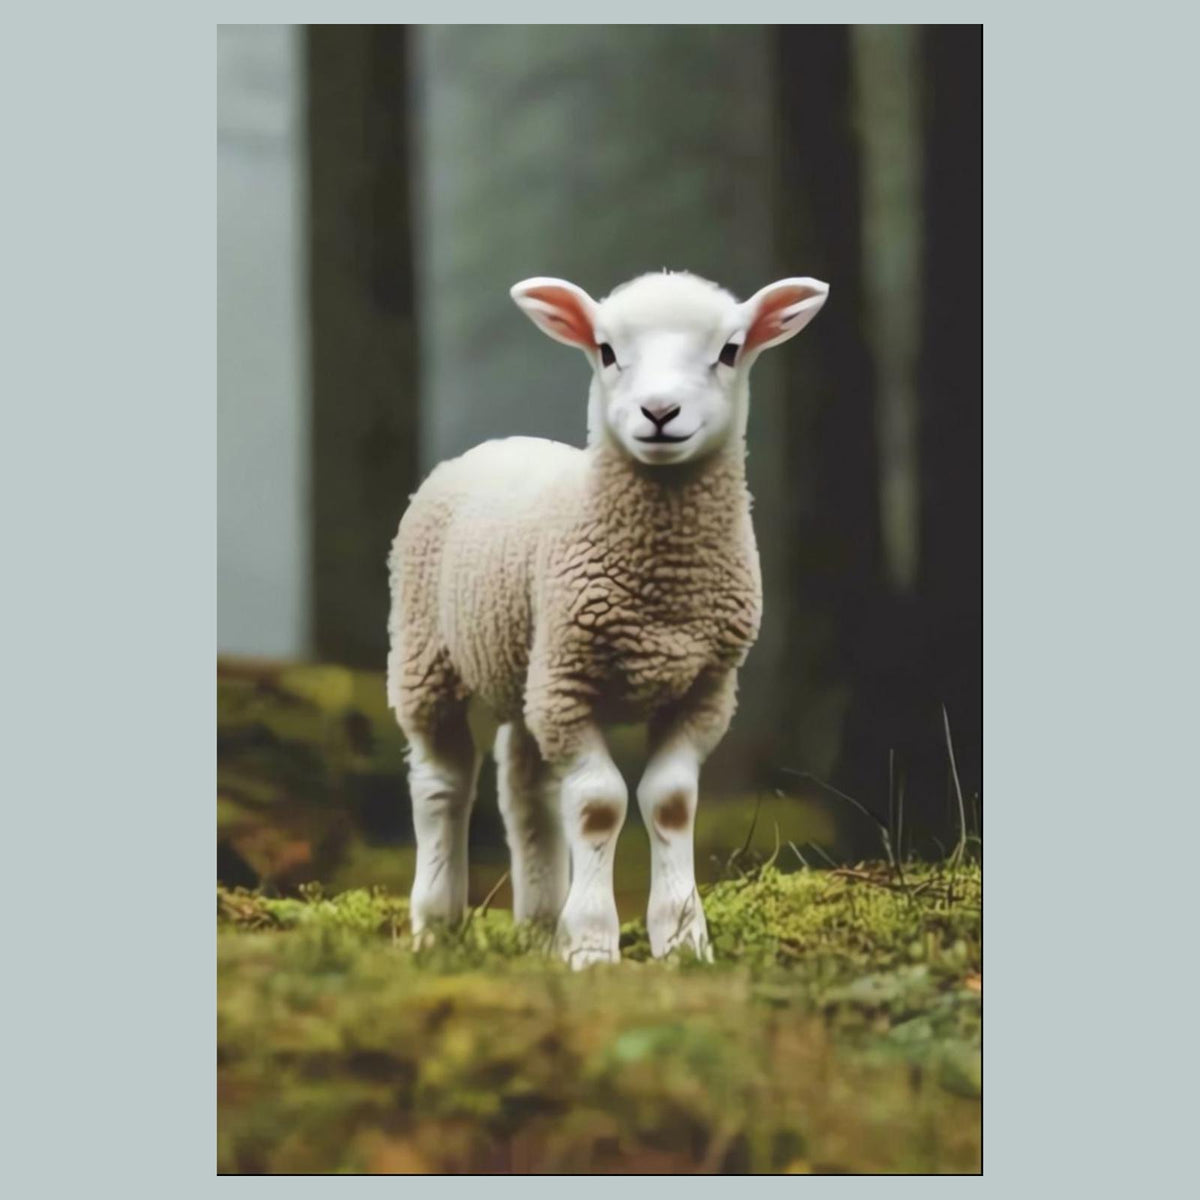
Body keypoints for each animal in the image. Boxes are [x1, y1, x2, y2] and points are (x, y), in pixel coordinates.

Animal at [387, 269, 829, 967]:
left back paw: (541, 930)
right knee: (442, 783)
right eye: (606, 350)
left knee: (527, 791)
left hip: (529, 671)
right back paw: (436, 926)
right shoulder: (570, 685)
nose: (660, 413)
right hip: (426, 651)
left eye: (730, 350)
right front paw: (594, 946)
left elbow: (670, 802)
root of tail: (497, 442)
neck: (663, 591)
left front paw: (682, 940)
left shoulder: (706, 689)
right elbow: (599, 805)